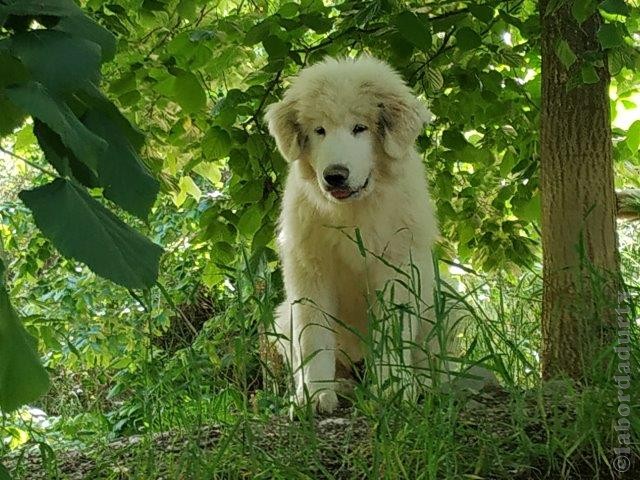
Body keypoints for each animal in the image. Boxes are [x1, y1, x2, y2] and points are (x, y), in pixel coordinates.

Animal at [264, 56, 440, 412]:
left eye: (360, 128)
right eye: (319, 130)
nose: (335, 175)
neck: (352, 212)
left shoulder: (397, 267)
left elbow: (393, 330)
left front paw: (394, 387)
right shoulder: (310, 270)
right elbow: (314, 336)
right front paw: (315, 396)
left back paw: (422, 385)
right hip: (283, 318)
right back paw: (341, 386)